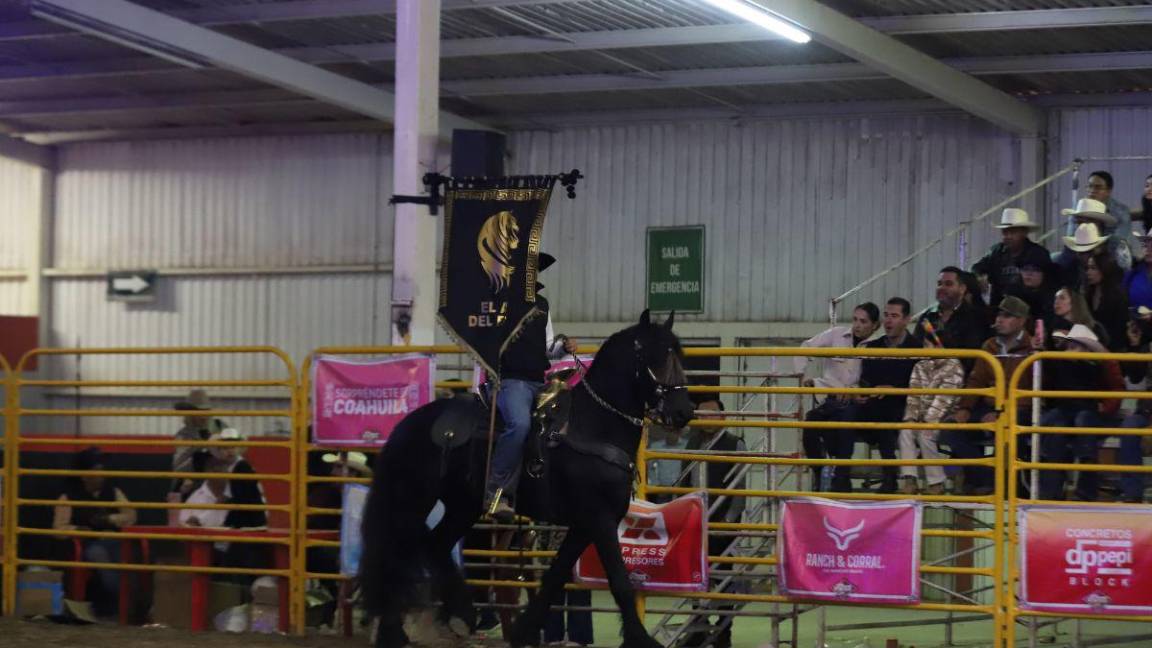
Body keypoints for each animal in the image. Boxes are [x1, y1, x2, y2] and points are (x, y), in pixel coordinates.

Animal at [361, 306, 691, 645]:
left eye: (678, 354)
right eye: (655, 356)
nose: (683, 412)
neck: (594, 425)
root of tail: (407, 424)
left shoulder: (585, 524)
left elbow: (555, 578)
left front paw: (523, 632)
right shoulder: (598, 518)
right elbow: (619, 581)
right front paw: (641, 639)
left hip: (463, 505)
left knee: (435, 545)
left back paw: (459, 616)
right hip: (411, 500)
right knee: (394, 556)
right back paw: (395, 632)